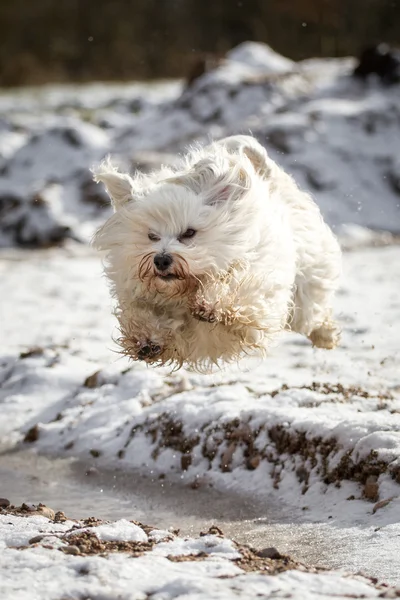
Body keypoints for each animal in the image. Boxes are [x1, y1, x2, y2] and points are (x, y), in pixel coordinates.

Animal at [93, 136, 340, 370]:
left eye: (189, 232)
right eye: (152, 236)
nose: (161, 260)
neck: (187, 289)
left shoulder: (256, 295)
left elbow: (237, 293)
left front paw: (212, 304)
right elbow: (145, 315)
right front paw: (146, 340)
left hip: (308, 281)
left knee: (312, 314)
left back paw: (326, 336)